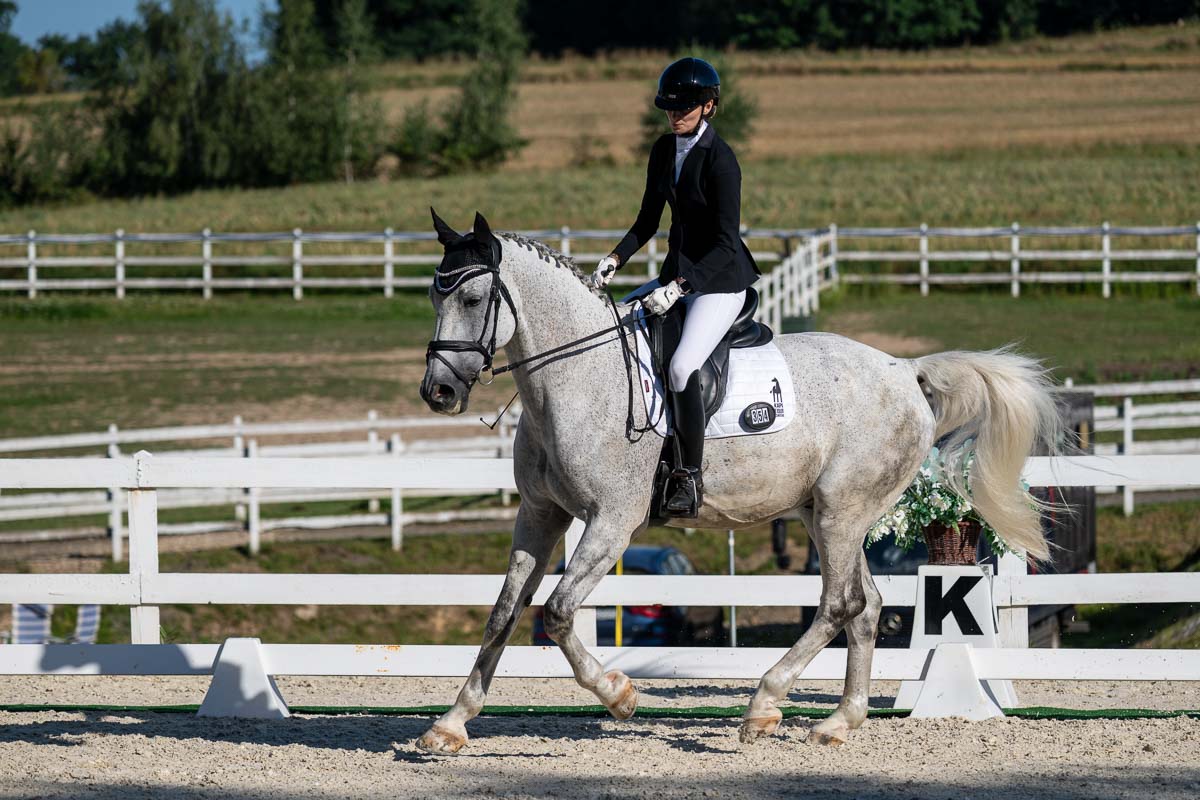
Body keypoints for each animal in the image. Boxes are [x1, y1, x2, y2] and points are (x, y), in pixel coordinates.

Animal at [416, 210, 1060, 753]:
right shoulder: (540, 514)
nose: (438, 392)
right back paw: (838, 722)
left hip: (841, 510)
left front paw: (620, 694)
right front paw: (450, 724)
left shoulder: (612, 522)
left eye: (472, 297)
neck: (578, 378)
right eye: (433, 295)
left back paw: (763, 706)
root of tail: (906, 370)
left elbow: (556, 612)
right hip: (826, 514)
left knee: (839, 603)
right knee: (867, 605)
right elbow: (504, 612)